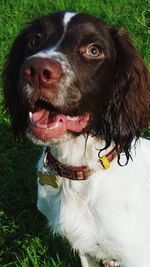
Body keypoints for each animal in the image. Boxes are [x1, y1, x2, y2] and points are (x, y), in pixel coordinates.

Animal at [2, 11, 150, 266]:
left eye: (94, 50)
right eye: (34, 40)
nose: (37, 70)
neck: (78, 171)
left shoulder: (137, 255)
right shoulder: (85, 250)